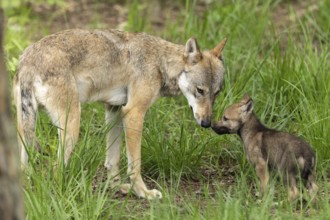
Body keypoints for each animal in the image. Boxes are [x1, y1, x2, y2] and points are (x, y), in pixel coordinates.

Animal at [13, 28, 227, 199]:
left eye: (216, 93)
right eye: (200, 91)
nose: (207, 123)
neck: (160, 62)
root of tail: (28, 62)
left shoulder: (114, 110)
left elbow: (112, 159)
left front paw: (117, 187)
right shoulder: (133, 113)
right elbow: (135, 165)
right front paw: (143, 193)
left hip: (26, 132)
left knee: (25, 168)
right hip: (72, 127)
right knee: (55, 170)